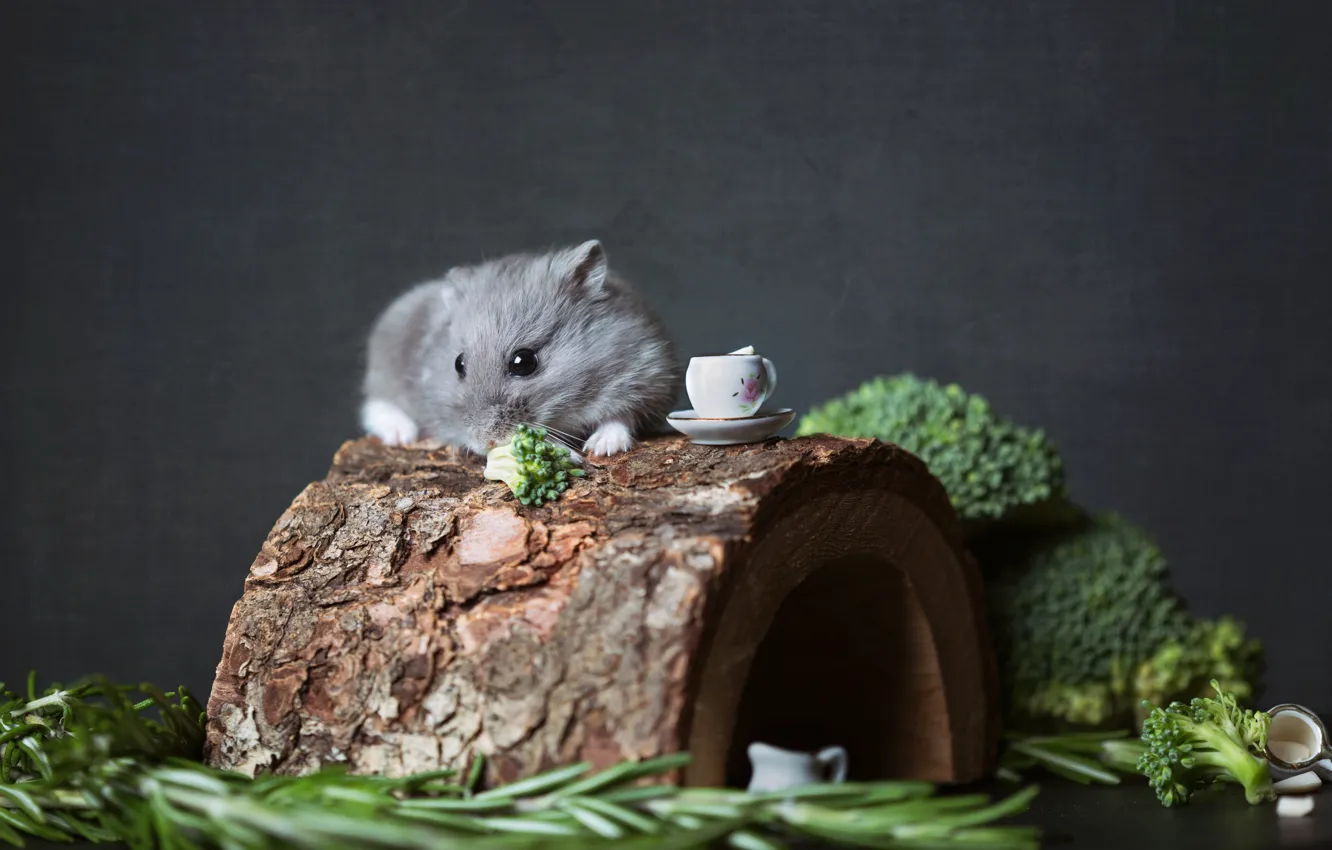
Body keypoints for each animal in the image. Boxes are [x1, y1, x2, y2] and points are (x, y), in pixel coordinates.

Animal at [360, 240, 679, 457]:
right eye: (458, 364)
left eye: (524, 362)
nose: (485, 443)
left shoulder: (647, 375)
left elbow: (621, 417)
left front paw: (600, 448)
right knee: (376, 404)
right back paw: (401, 435)